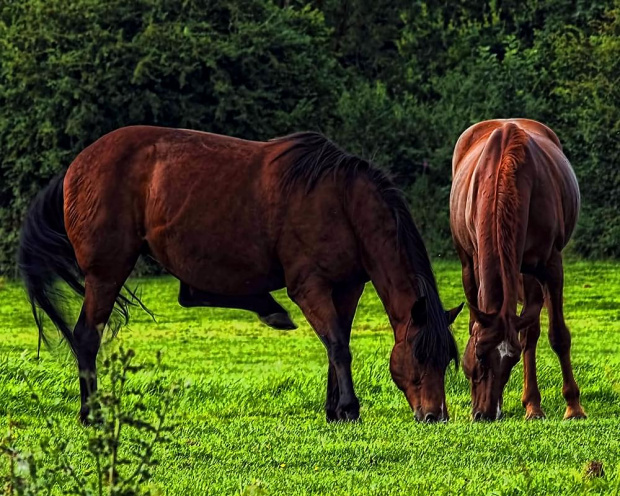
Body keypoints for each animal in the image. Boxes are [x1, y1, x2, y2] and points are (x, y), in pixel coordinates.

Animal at [20, 127, 460, 422]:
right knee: (86, 336)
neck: (341, 200)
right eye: (421, 355)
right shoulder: (310, 286)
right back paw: (89, 413)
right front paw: (349, 409)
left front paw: (334, 408)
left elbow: (340, 343)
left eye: (446, 360)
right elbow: (337, 344)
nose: (435, 415)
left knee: (190, 294)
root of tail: (74, 167)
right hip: (107, 272)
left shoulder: (348, 286)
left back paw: (268, 308)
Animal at [450, 118, 588, 420]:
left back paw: (533, 404)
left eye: (510, 361)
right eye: (479, 353)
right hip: (470, 265)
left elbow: (557, 335)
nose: (485, 413)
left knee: (530, 332)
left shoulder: (550, 265)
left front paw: (573, 407)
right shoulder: (477, 261)